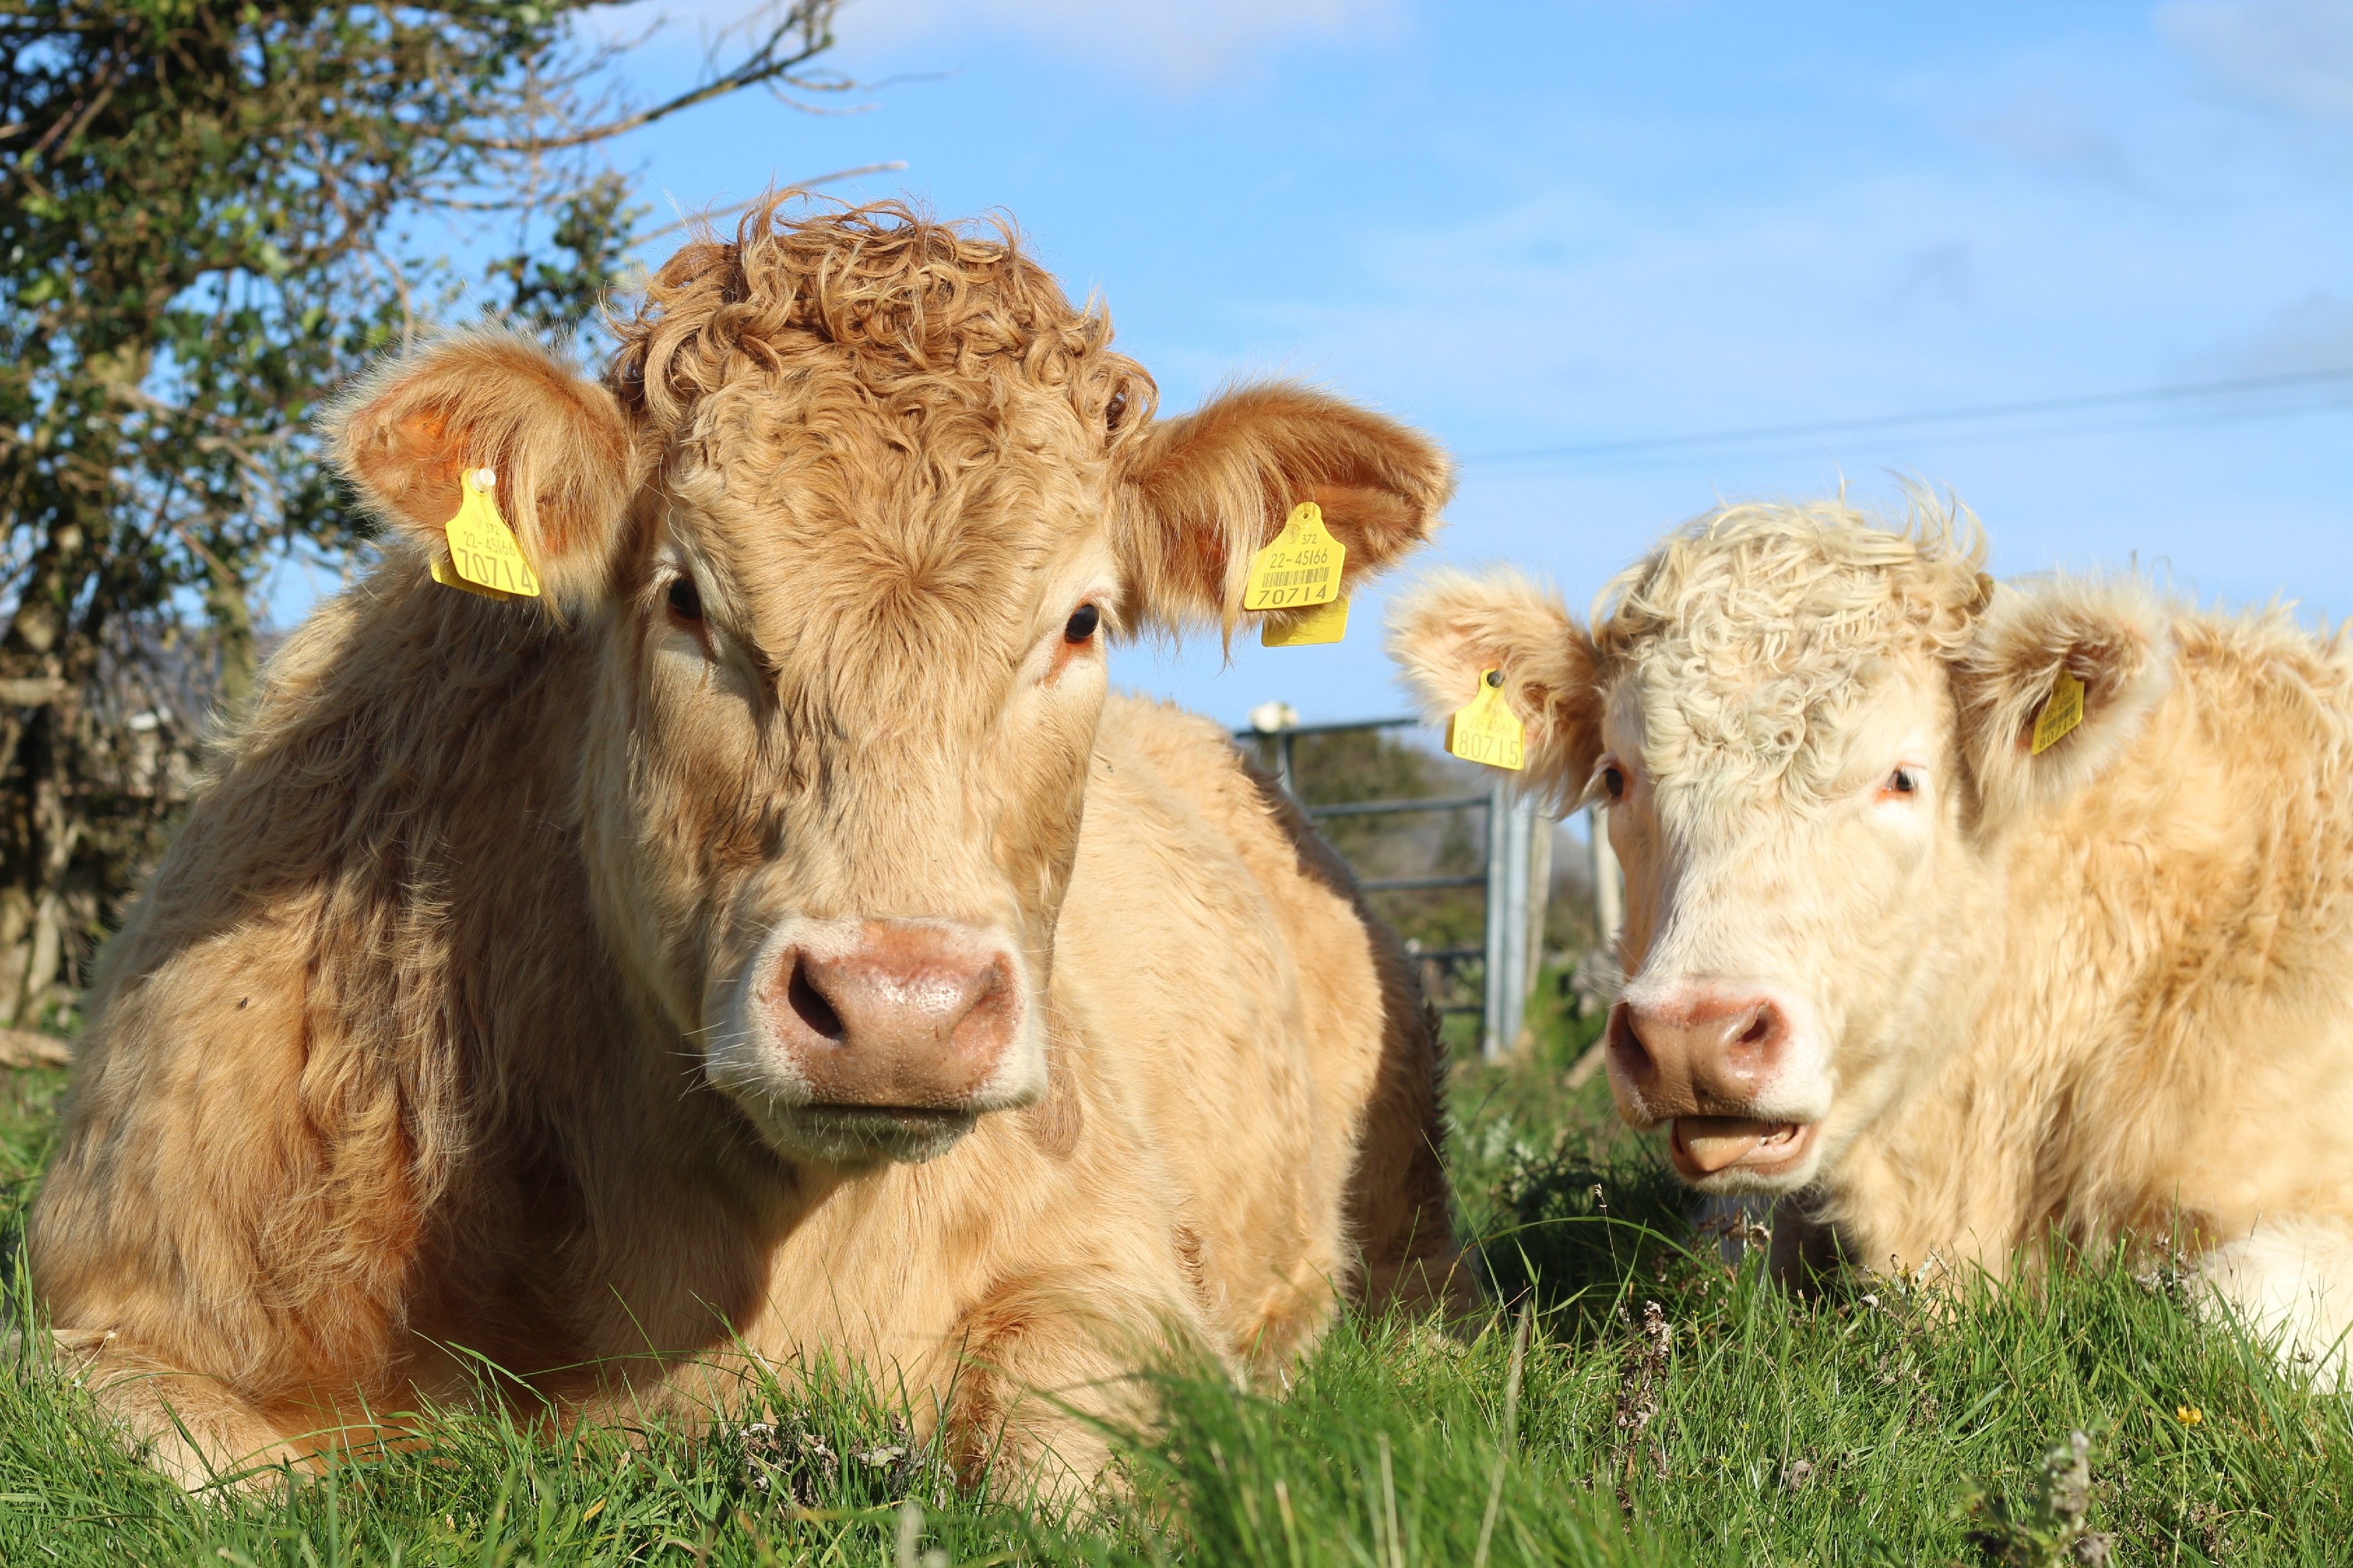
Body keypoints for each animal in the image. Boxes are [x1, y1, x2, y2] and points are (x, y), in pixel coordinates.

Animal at [28, 202, 1468, 1495]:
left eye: (1080, 620)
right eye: (686, 599)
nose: (903, 1006)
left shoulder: (1115, 1280)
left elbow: (1065, 1470)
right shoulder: (108, 1312)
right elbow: (219, 1476)